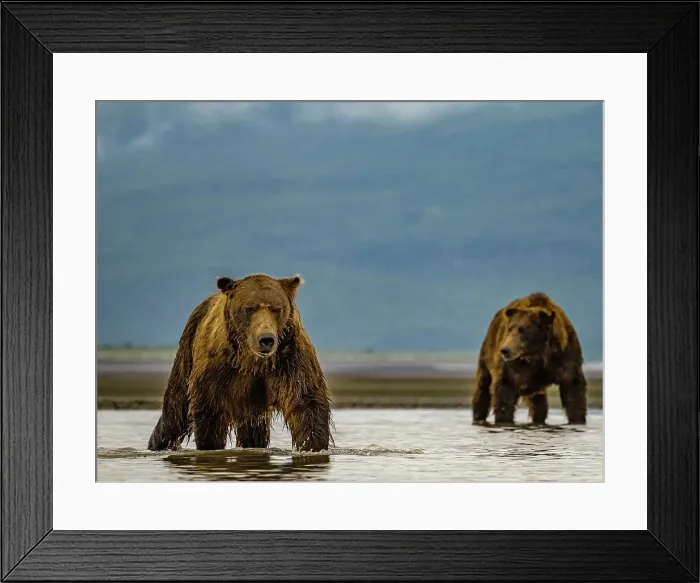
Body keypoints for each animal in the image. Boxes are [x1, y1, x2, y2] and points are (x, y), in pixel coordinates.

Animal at [147, 273, 334, 452]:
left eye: (276, 308)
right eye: (249, 308)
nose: (266, 339)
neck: (252, 361)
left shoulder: (290, 359)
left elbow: (306, 404)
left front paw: (312, 446)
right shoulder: (218, 369)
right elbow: (210, 410)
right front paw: (210, 445)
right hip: (187, 349)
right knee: (176, 409)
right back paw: (157, 444)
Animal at [470, 292, 588, 426]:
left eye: (523, 329)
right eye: (510, 328)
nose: (505, 350)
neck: (538, 355)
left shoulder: (566, 358)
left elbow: (573, 390)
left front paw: (577, 420)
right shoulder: (512, 368)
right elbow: (504, 392)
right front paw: (504, 420)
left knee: (539, 404)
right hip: (487, 352)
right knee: (482, 388)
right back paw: (479, 418)